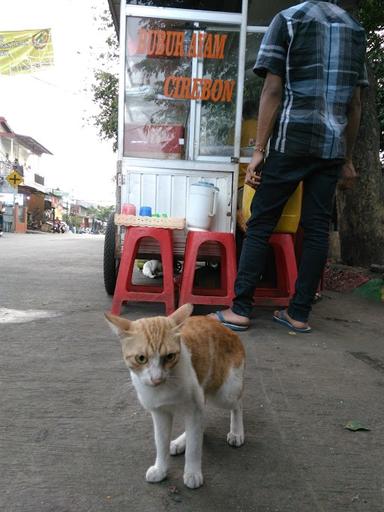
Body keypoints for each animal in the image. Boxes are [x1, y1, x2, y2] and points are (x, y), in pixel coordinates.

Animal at [104, 302, 246, 490]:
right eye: (141, 358)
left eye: (170, 356)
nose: (156, 379)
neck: (164, 387)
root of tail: (227, 329)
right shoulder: (160, 413)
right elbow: (161, 442)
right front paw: (161, 469)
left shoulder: (194, 409)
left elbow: (194, 447)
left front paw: (192, 473)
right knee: (200, 423)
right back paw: (180, 442)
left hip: (225, 393)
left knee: (237, 405)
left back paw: (237, 432)